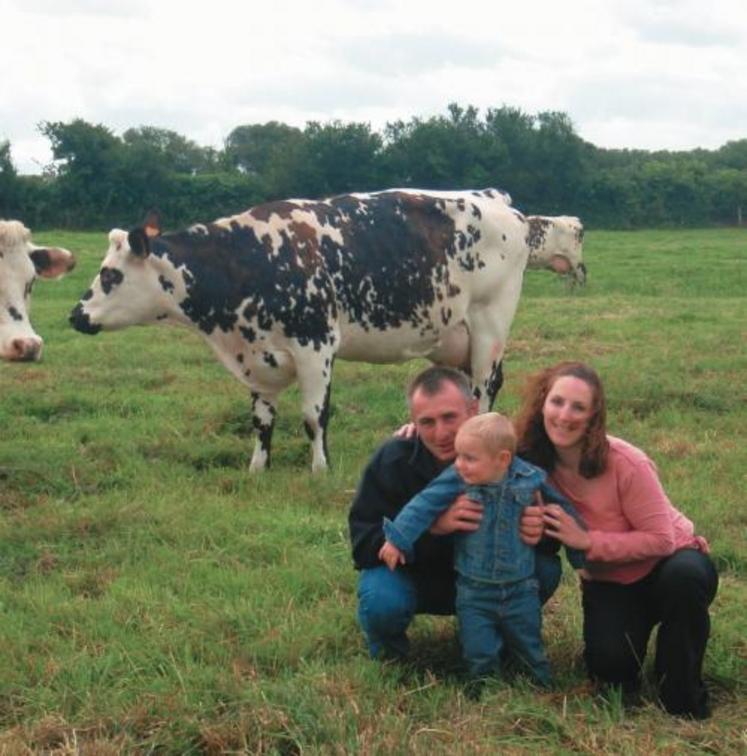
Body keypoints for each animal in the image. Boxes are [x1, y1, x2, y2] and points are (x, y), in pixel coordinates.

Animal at [68, 188, 584, 470]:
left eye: (110, 275)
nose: (75, 315)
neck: (252, 260)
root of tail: (496, 201)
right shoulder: (257, 355)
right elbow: (262, 420)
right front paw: (258, 467)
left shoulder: (315, 345)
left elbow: (314, 415)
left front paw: (320, 468)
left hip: (489, 323)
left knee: (485, 386)